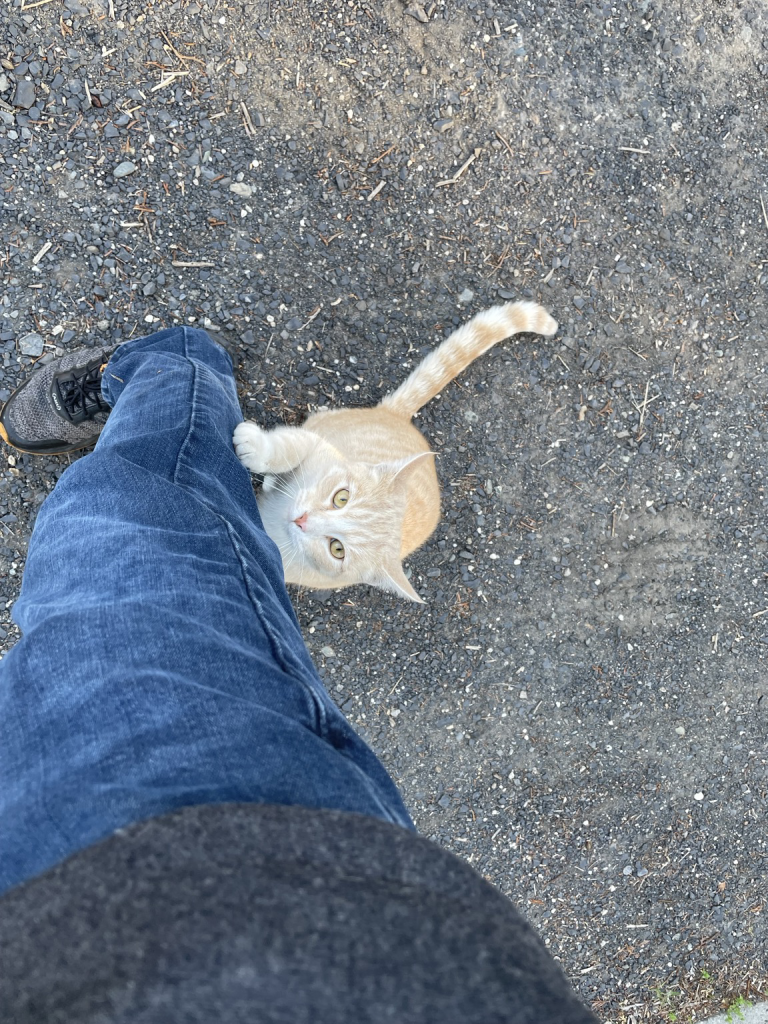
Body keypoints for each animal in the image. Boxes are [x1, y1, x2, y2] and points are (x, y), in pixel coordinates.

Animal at [234, 299, 561, 598]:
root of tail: (398, 417)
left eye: (337, 549)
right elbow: (288, 447)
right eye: (342, 497)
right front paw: (258, 449)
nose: (301, 520)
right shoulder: (318, 445)